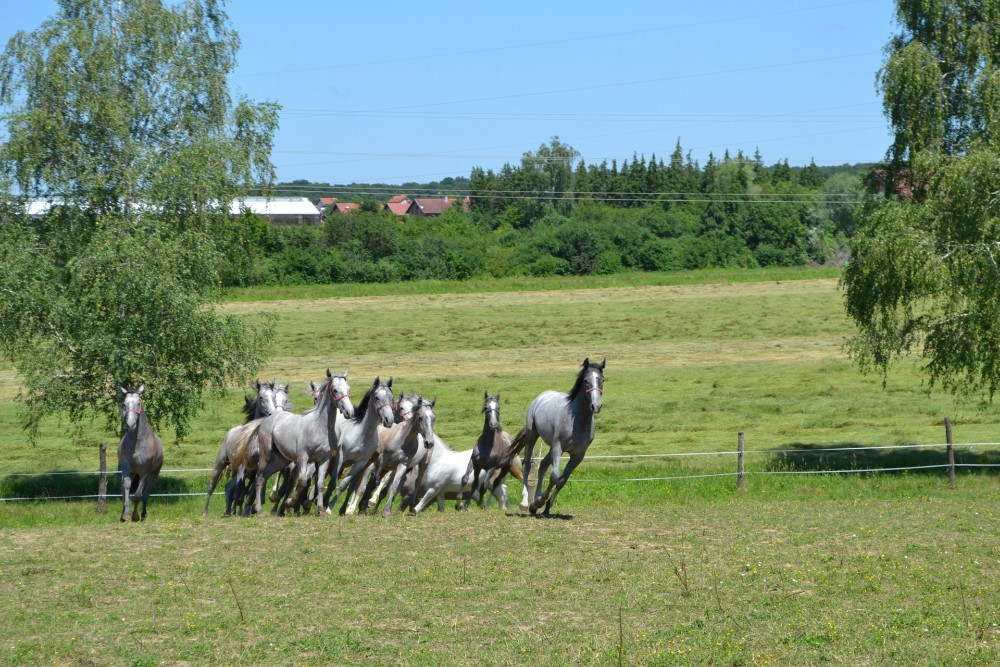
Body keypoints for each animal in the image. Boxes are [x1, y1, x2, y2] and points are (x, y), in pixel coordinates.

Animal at [118, 386, 165, 520]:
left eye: (138, 403)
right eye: (124, 404)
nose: (130, 424)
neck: (137, 443)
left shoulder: (144, 471)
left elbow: (138, 494)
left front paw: (135, 516)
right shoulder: (126, 466)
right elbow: (126, 486)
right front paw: (126, 514)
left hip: (153, 474)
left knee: (147, 491)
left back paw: (143, 513)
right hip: (134, 472)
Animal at [516, 360, 600, 516]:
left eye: (602, 379)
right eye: (586, 380)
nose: (596, 406)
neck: (576, 420)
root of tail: (541, 396)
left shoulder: (578, 455)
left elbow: (562, 480)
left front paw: (544, 506)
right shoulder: (558, 447)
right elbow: (555, 477)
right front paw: (538, 503)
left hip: (552, 448)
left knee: (543, 465)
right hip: (533, 436)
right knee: (527, 464)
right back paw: (524, 502)